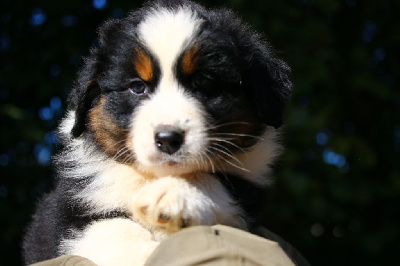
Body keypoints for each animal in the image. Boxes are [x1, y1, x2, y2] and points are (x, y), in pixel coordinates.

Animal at [22, 0, 290, 264]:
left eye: (202, 81)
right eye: (137, 87)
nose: (168, 139)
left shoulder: (250, 187)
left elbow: (220, 181)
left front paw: (175, 193)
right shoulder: (64, 215)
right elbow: (111, 228)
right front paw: (143, 253)